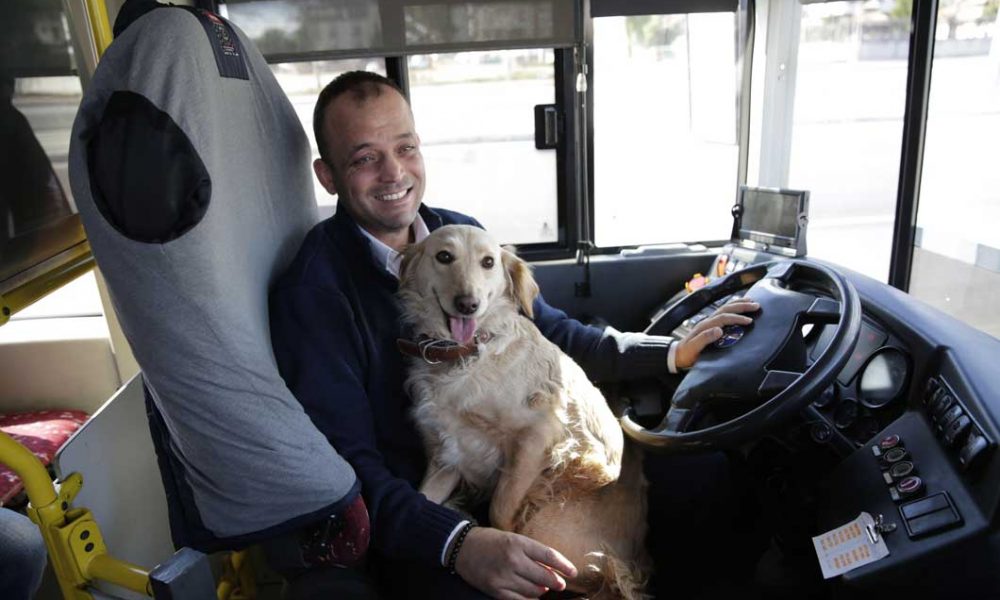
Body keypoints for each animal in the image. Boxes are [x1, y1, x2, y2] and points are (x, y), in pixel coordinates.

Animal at [398, 225, 648, 600]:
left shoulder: (537, 435)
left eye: (488, 262)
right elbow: (422, 498)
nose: (468, 304)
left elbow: (501, 508)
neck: (466, 354)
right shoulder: (446, 456)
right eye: (444, 256)